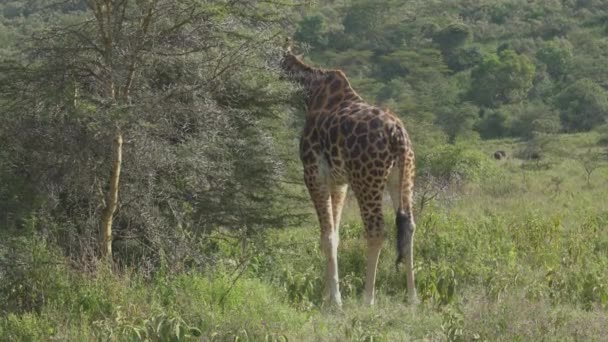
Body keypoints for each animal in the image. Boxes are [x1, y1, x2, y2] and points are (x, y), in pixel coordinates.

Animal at [280, 41, 418, 306]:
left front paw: (335, 300)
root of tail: (397, 134)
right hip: (402, 176)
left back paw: (368, 299)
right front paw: (326, 294)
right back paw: (413, 299)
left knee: (376, 230)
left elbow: (327, 236)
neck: (311, 93)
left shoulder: (313, 174)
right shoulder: (339, 182)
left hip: (366, 180)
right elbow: (334, 234)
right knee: (408, 226)